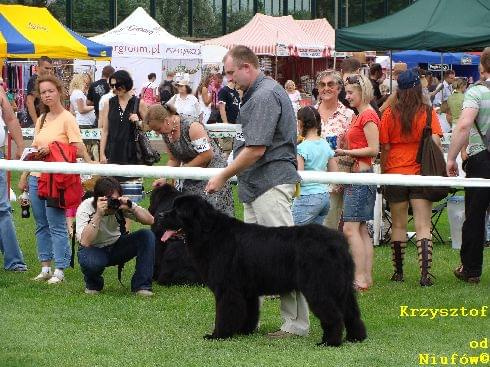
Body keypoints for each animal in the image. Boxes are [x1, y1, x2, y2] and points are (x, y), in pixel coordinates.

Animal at [155, 194, 366, 346]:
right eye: (172, 207)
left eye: (178, 211)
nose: (160, 215)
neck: (209, 233)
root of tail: (338, 242)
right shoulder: (246, 291)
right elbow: (248, 312)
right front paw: (243, 332)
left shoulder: (227, 289)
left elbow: (224, 313)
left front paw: (218, 335)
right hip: (343, 287)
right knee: (352, 312)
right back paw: (356, 338)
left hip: (318, 288)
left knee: (334, 315)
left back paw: (330, 342)